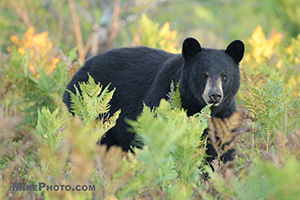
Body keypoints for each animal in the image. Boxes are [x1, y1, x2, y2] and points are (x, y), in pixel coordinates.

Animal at [63, 36, 244, 165]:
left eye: (224, 76)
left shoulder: (224, 116)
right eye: (203, 75)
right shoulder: (162, 99)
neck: (196, 108)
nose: (214, 95)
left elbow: (221, 150)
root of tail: (80, 68)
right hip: (86, 112)